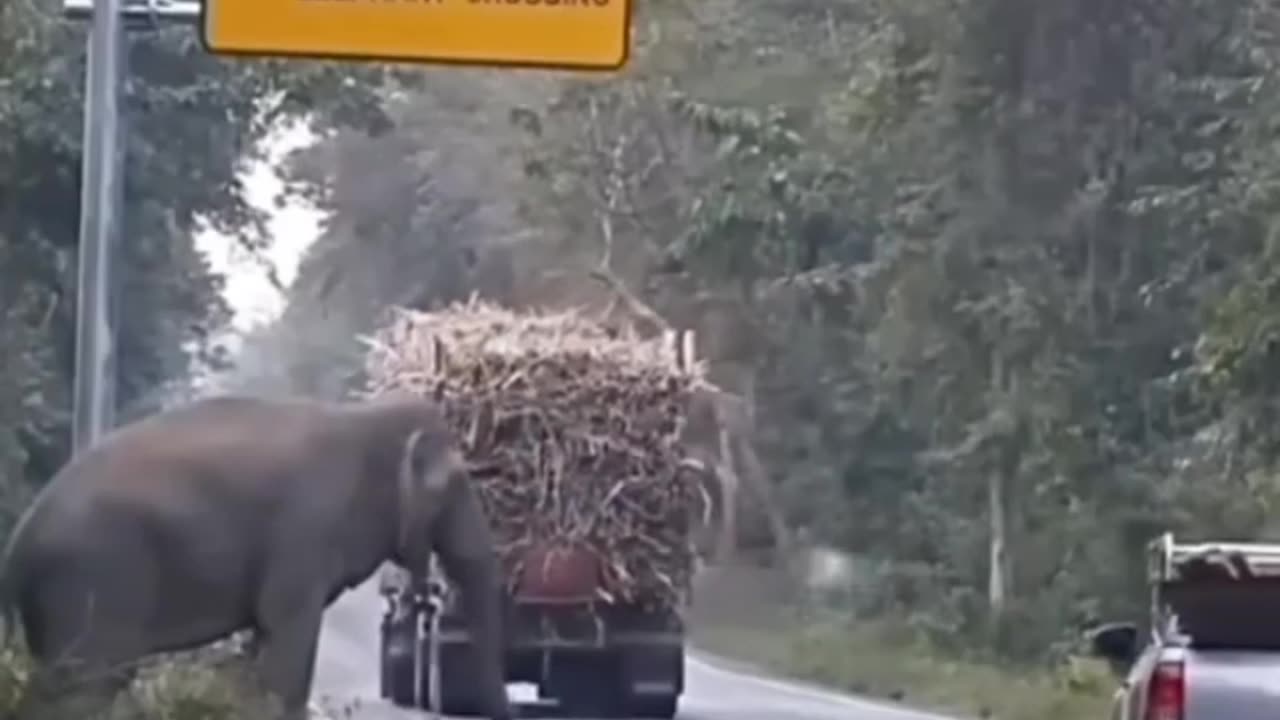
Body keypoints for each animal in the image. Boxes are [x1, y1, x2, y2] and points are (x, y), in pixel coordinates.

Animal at [0, 392, 509, 717]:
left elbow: (267, 644)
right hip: (93, 581)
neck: (365, 418)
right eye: (457, 488)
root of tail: (18, 544)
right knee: (86, 687)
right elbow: (287, 643)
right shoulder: (306, 530)